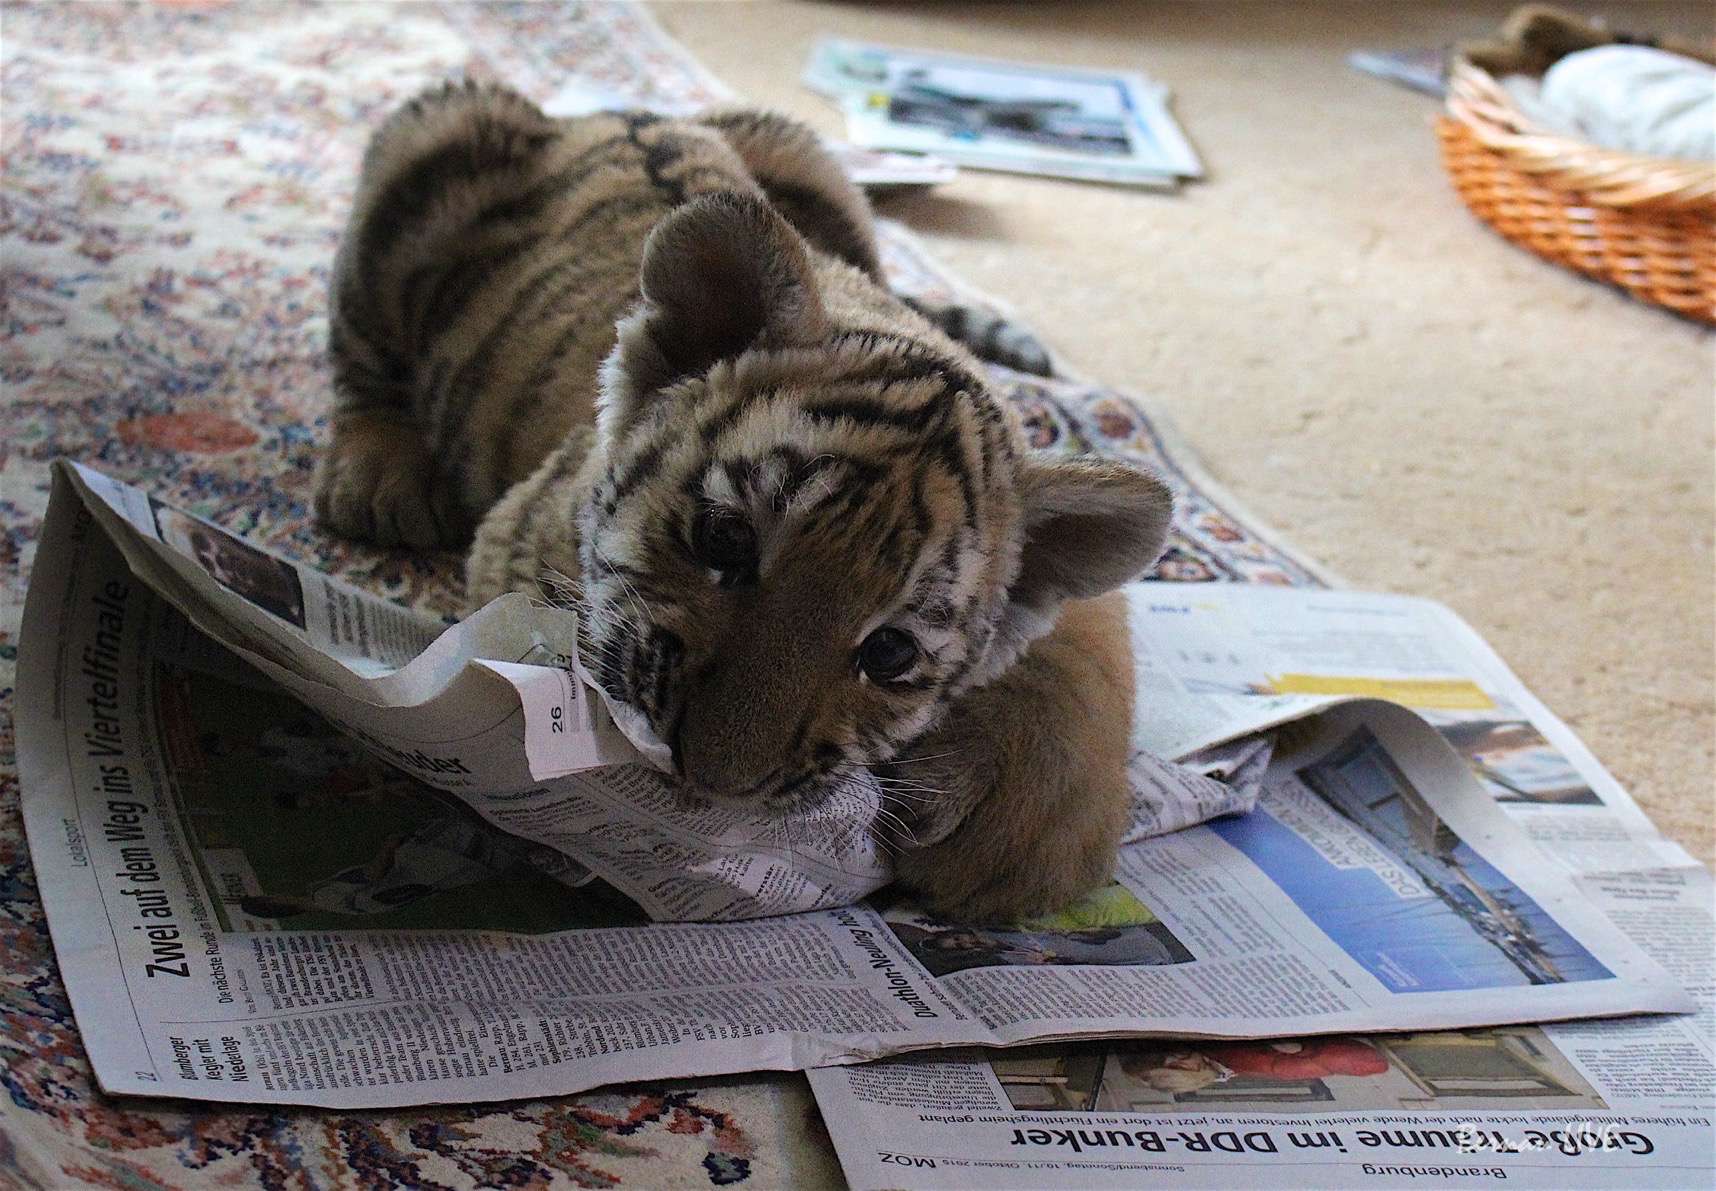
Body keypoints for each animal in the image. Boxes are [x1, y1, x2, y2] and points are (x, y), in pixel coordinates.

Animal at [317, 81, 1173, 920]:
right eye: (723, 539)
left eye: (890, 652)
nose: (708, 779)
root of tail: (616, 111)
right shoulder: (513, 541)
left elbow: (1081, 644)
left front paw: (1023, 838)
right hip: (434, 140)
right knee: (359, 350)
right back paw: (378, 475)